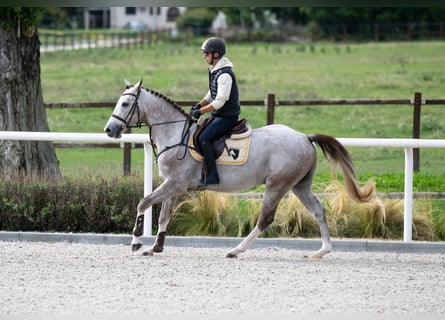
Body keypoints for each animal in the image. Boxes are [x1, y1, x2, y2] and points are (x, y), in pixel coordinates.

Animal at [105, 79, 374, 258]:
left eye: (126, 103)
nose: (109, 130)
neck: (175, 133)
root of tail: (305, 137)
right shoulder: (173, 186)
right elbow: (163, 215)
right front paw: (156, 247)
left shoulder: (174, 184)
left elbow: (143, 203)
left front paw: (136, 242)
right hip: (300, 186)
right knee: (318, 211)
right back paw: (323, 251)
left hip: (277, 185)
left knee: (265, 219)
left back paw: (236, 249)